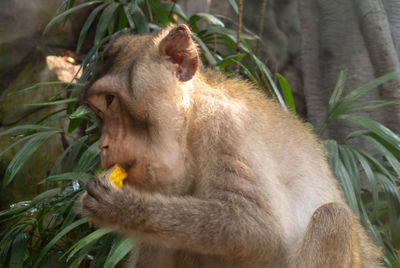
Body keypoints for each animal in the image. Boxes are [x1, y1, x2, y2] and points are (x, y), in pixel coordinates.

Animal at [80, 24, 382, 266]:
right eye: (98, 112)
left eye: (110, 100)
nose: (103, 145)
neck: (190, 127)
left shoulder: (225, 127)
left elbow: (263, 229)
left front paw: (123, 207)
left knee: (333, 218)